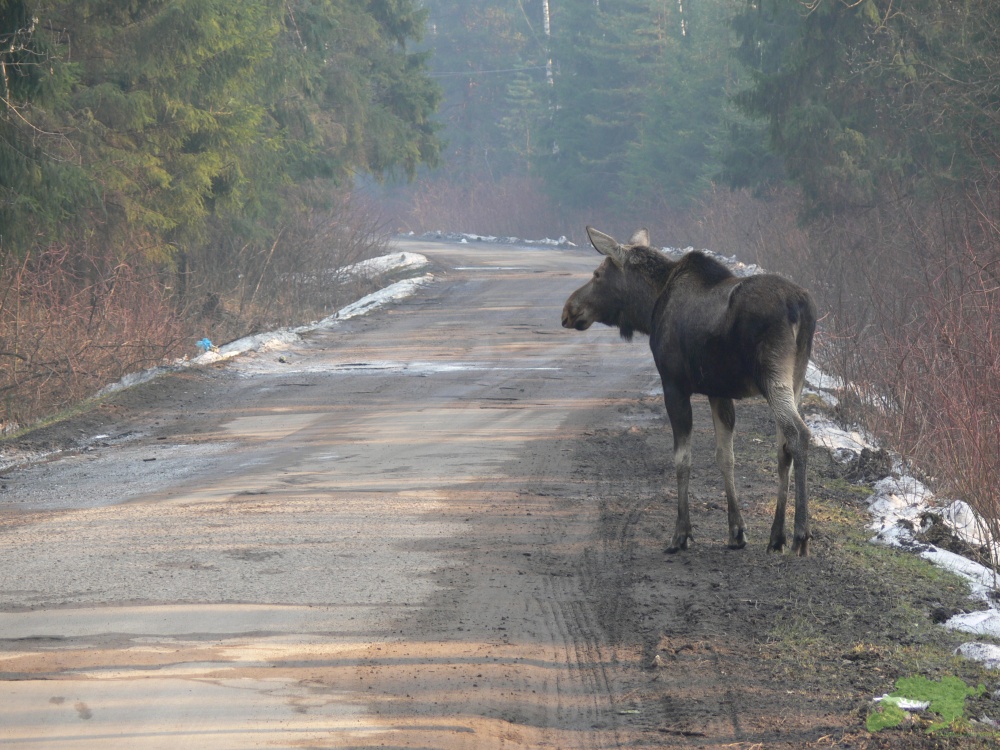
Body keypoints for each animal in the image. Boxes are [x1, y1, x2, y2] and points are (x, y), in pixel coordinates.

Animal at [564, 229, 820, 560]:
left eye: (597, 274)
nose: (568, 310)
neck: (648, 308)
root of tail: (802, 308)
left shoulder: (674, 385)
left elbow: (682, 458)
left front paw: (680, 534)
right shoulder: (718, 391)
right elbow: (725, 456)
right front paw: (736, 531)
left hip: (772, 373)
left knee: (798, 434)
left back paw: (801, 534)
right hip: (796, 378)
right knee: (783, 447)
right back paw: (776, 536)